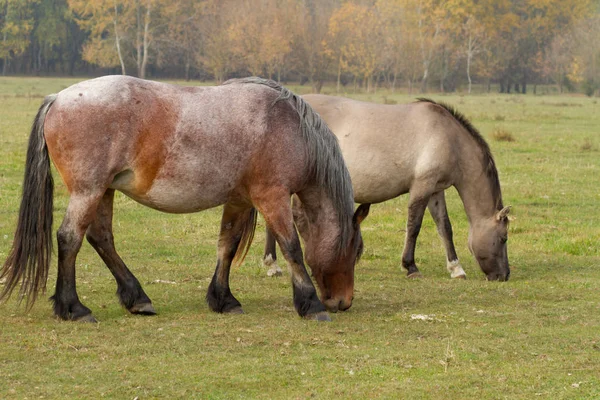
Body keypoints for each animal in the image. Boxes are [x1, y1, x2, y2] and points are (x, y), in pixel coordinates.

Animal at [0, 77, 368, 322]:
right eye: (357, 251)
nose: (343, 302)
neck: (285, 125)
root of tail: (58, 98)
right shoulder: (272, 197)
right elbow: (291, 248)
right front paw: (311, 304)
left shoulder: (239, 200)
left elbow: (227, 245)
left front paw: (223, 299)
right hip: (88, 191)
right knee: (69, 239)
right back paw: (73, 308)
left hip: (102, 191)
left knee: (100, 238)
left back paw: (137, 298)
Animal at [264, 94, 510, 282]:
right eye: (503, 238)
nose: (504, 275)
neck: (450, 138)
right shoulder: (422, 187)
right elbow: (414, 226)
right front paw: (410, 266)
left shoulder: (435, 190)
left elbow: (444, 227)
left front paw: (456, 268)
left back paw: (274, 264)